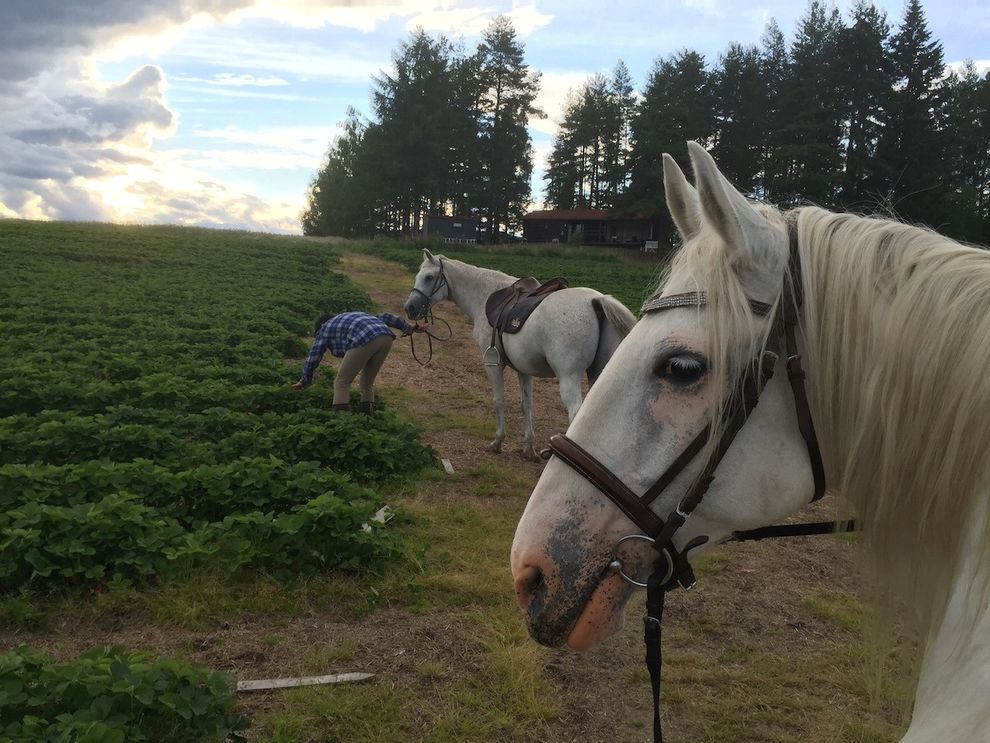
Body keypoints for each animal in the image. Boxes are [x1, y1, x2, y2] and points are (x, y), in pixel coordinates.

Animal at [404, 250, 636, 460]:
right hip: (598, 374)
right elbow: (527, 406)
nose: (410, 308)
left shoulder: (492, 364)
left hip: (569, 378)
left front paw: (497, 442)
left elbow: (499, 401)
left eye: (429, 277)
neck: (485, 295)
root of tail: (596, 300)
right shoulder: (523, 369)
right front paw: (529, 448)